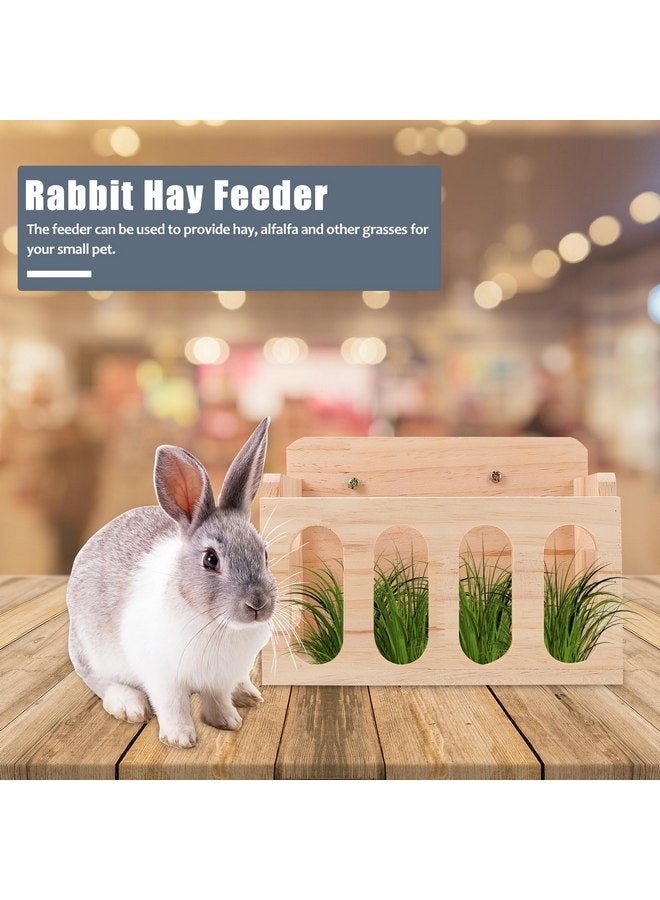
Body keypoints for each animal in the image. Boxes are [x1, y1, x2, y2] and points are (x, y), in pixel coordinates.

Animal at [66, 417, 278, 748]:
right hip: (90, 652)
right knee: (99, 680)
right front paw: (180, 739)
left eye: (265, 553)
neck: (216, 625)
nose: (258, 604)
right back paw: (129, 705)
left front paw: (227, 721)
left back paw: (248, 694)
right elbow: (173, 705)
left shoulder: (219, 679)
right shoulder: (162, 677)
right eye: (210, 560)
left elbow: (218, 699)